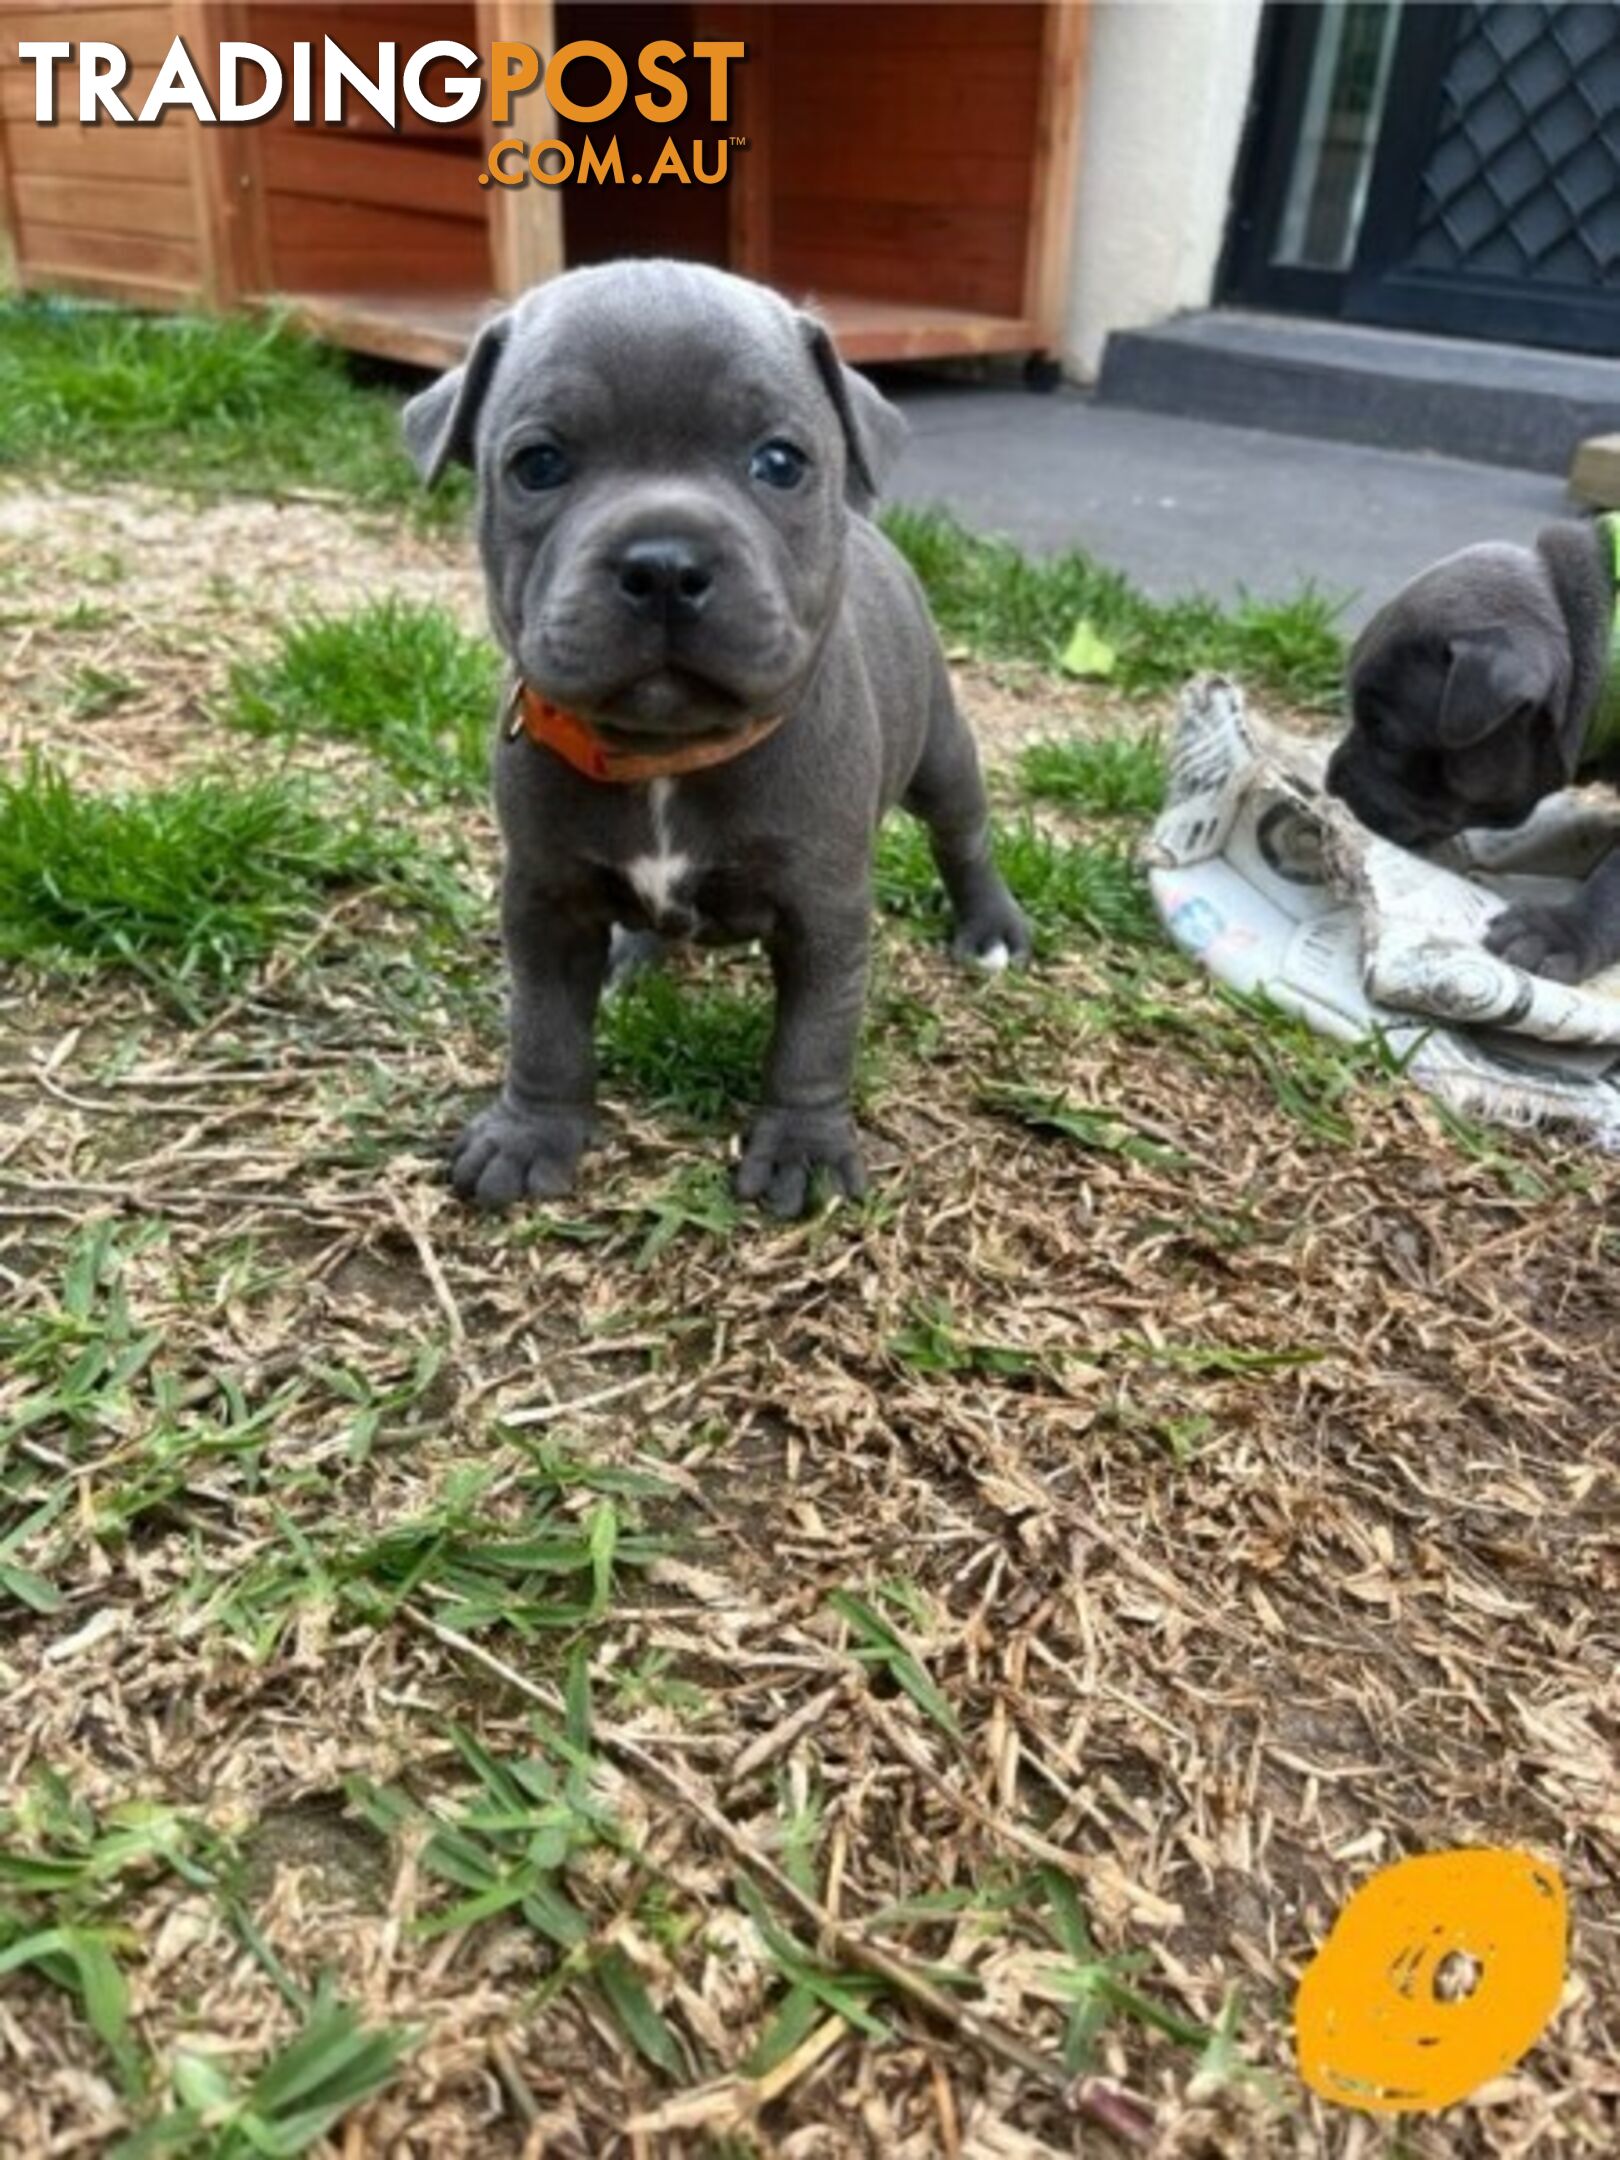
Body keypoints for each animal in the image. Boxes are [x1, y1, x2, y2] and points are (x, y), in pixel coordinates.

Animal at [403, 257, 1028, 1218]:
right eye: (538, 464)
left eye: (779, 462)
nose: (664, 563)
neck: (667, 754)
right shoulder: (544, 902)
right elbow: (543, 1029)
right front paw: (529, 1135)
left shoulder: (824, 916)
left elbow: (812, 1041)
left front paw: (803, 1150)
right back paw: (637, 954)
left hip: (942, 755)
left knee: (963, 834)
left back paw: (990, 926)